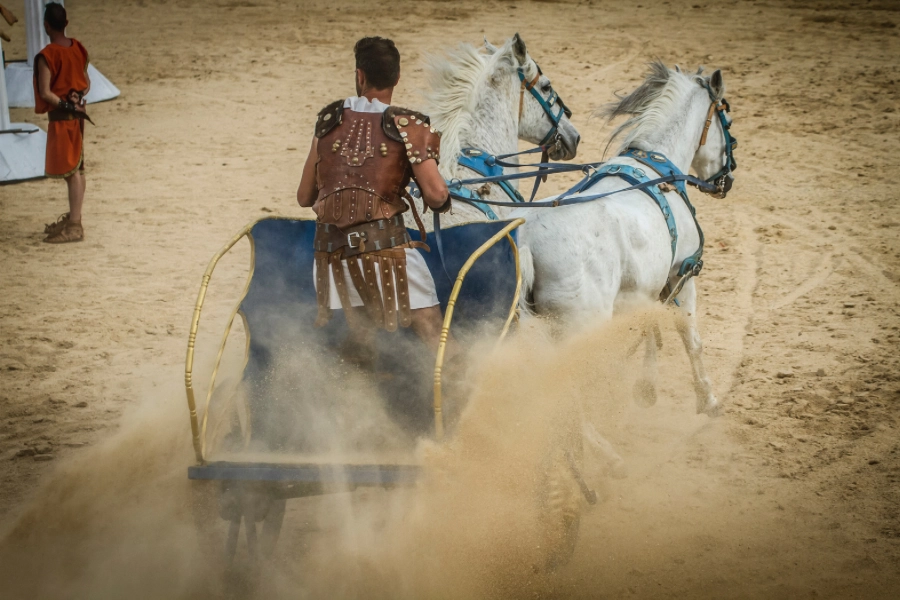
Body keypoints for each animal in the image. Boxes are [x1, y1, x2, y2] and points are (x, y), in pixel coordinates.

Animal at [516, 62, 736, 418]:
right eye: (726, 118)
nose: (727, 180)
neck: (659, 169)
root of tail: (526, 240)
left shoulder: (645, 289)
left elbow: (649, 329)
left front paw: (646, 388)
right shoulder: (682, 276)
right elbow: (690, 338)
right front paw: (708, 399)